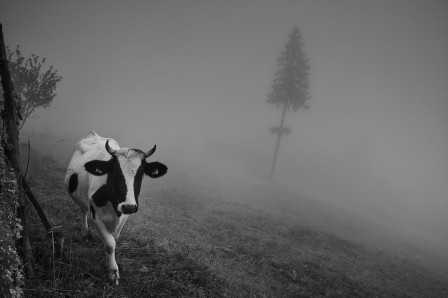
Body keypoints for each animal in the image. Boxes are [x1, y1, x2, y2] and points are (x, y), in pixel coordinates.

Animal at [64, 130, 166, 284]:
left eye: (141, 174)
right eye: (116, 172)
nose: (129, 206)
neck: (113, 204)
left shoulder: (124, 216)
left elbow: (114, 238)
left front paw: (108, 263)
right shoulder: (96, 216)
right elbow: (110, 243)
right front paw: (113, 272)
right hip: (82, 200)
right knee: (83, 211)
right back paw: (85, 232)